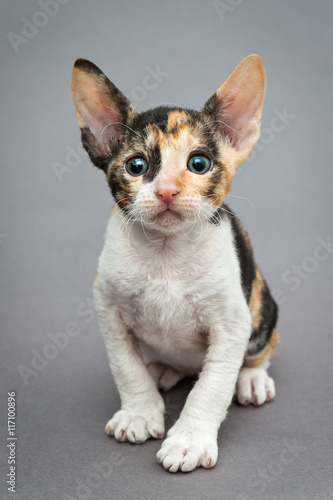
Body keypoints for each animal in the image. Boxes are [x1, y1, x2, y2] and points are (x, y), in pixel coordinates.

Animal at [70, 55, 280, 472]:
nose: (167, 190)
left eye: (198, 163)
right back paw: (163, 371)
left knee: (259, 349)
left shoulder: (230, 326)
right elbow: (126, 367)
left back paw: (252, 380)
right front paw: (139, 412)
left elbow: (211, 388)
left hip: (261, 305)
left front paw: (189, 441)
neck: (166, 252)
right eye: (136, 166)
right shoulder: (108, 310)